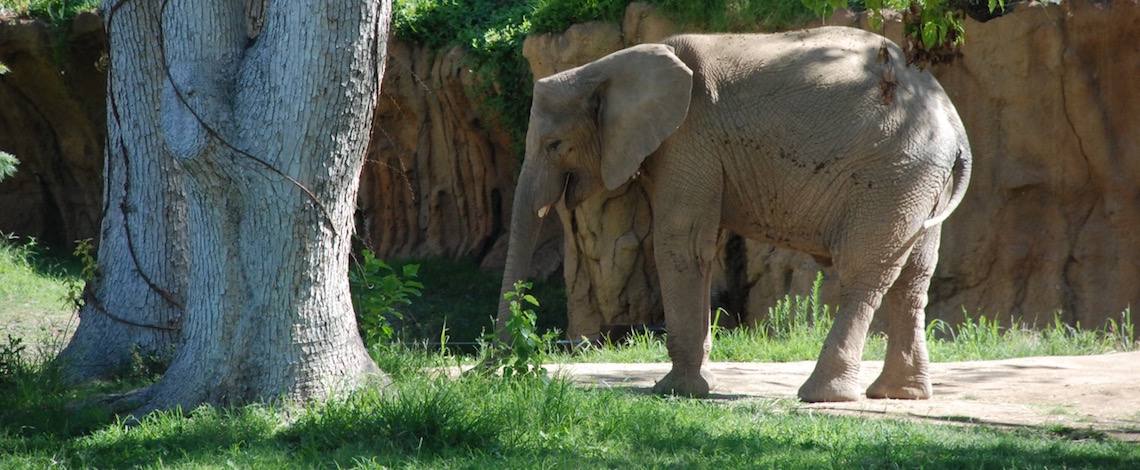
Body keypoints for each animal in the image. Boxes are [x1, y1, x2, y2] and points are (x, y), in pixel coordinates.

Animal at [494, 25, 966, 401]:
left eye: (555, 145)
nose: (492, 372)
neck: (606, 66)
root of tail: (956, 129)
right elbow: (698, 247)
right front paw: (700, 387)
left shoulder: (688, 138)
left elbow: (679, 242)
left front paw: (677, 392)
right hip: (920, 178)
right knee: (912, 278)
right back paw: (901, 395)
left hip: (893, 172)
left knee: (864, 274)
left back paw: (824, 396)